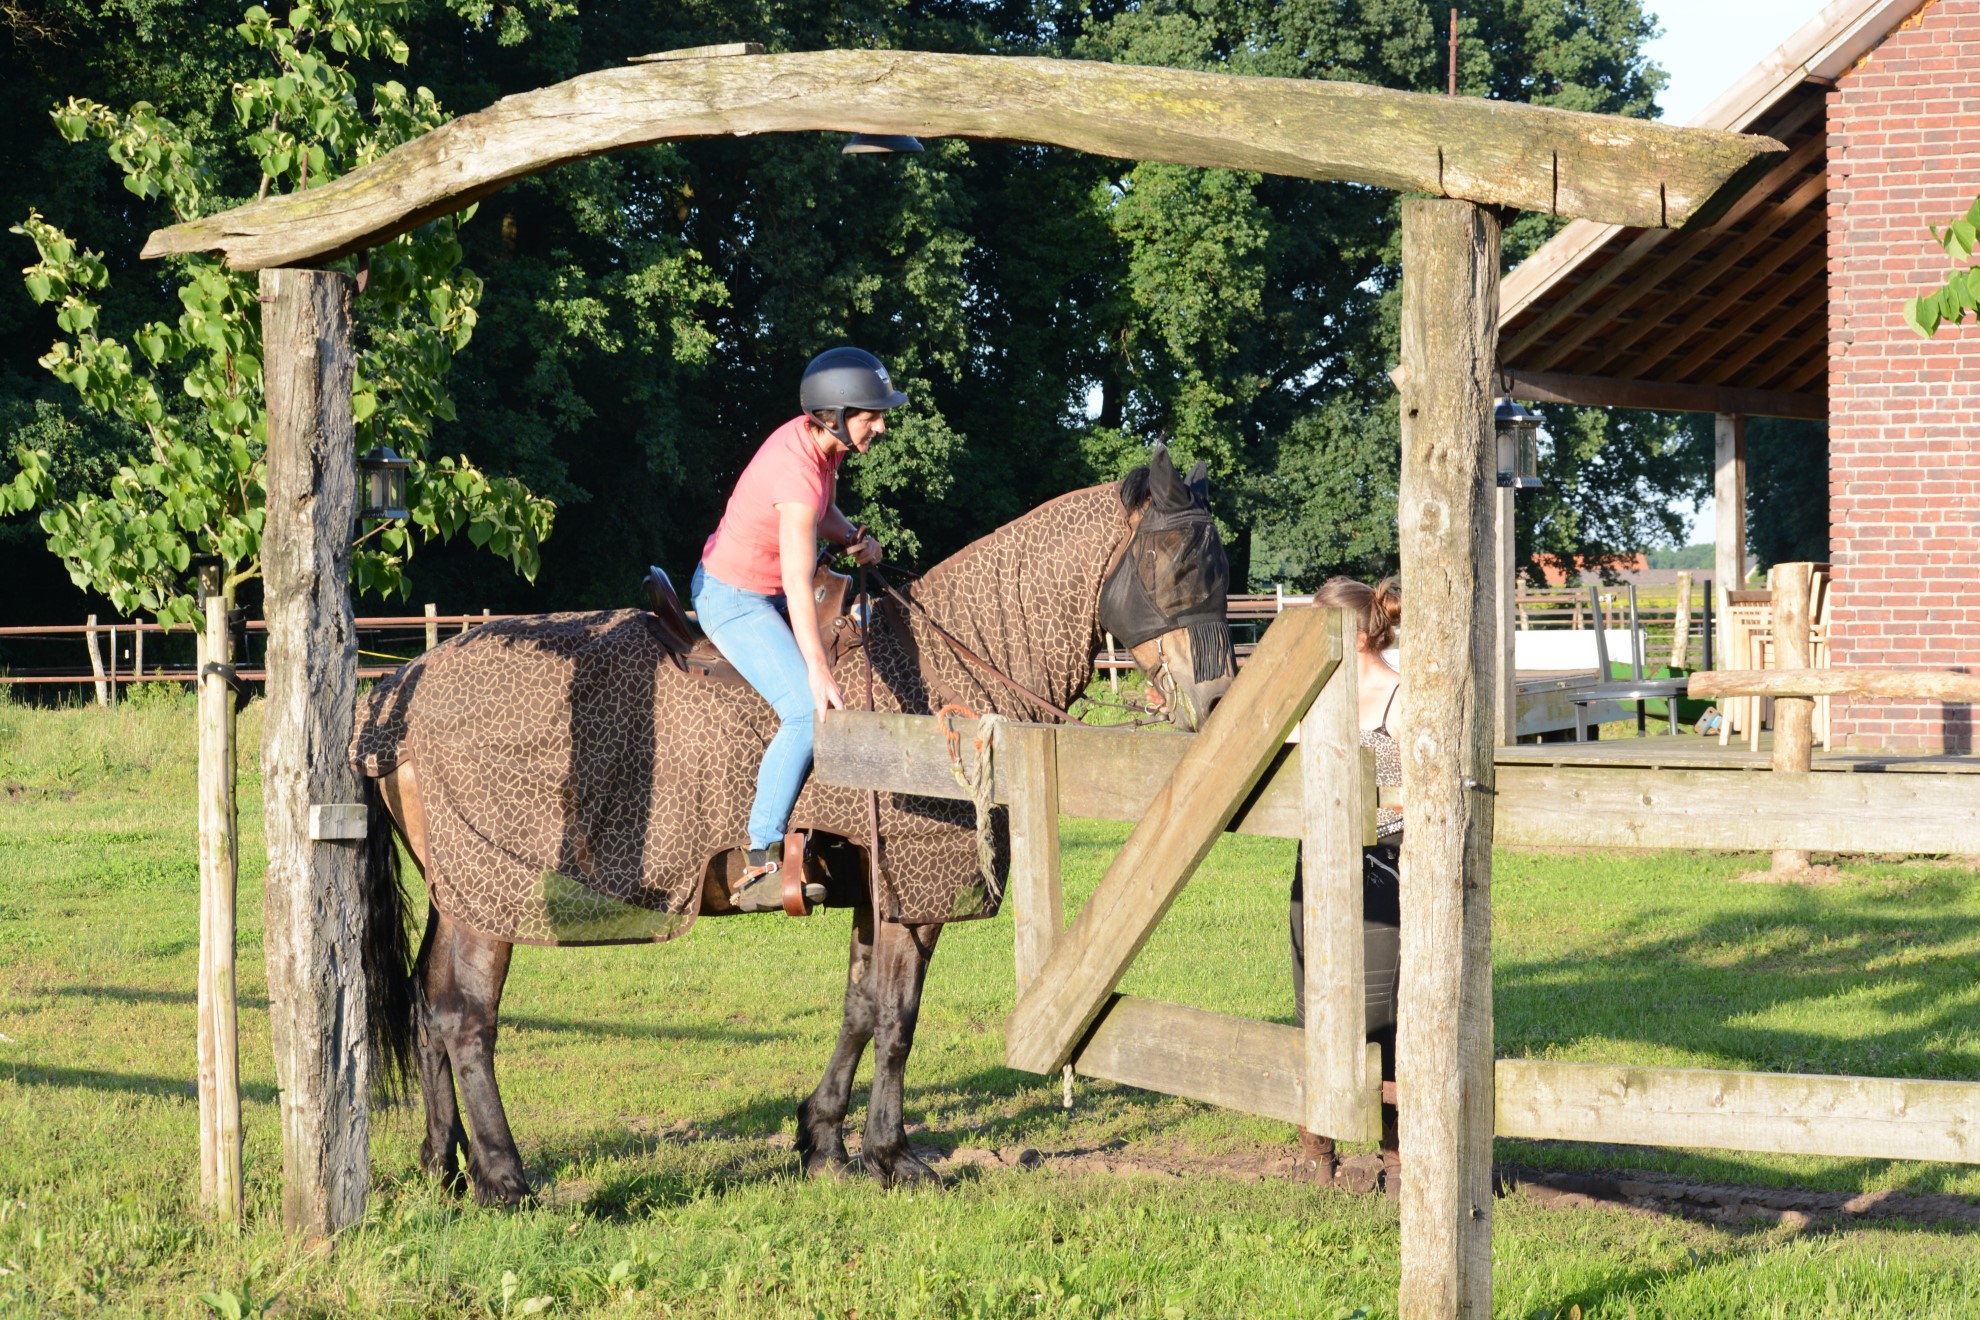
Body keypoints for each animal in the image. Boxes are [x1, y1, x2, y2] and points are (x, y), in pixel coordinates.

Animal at [347, 446, 1236, 1206]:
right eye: (1179, 563)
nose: (1217, 701)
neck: (933, 677)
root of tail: (401, 689)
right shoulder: (910, 894)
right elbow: (896, 1019)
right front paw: (891, 1155)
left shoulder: (874, 894)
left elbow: (857, 1009)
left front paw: (824, 1143)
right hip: (490, 900)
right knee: (464, 1018)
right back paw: (504, 1179)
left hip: (459, 893)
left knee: (426, 1009)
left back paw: (444, 1165)